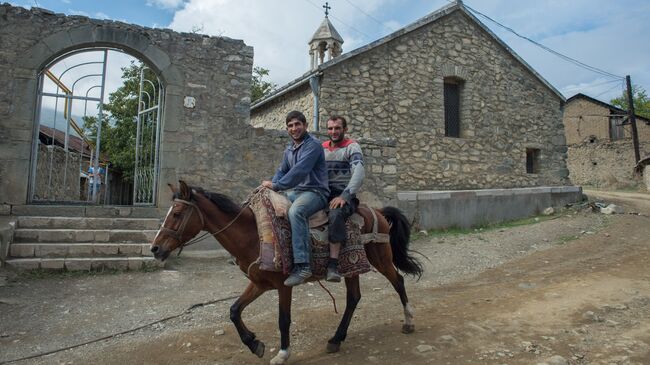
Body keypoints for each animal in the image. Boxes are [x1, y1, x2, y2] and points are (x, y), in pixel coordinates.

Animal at [150, 181, 420, 362]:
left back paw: (408, 321)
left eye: (176, 213)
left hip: (380, 258)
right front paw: (254, 344)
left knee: (398, 281)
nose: (155, 248)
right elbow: (234, 310)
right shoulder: (259, 283)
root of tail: (378, 212)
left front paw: (282, 353)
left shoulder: (283, 285)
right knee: (354, 298)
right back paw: (336, 339)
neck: (254, 234)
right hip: (352, 268)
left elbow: (283, 319)